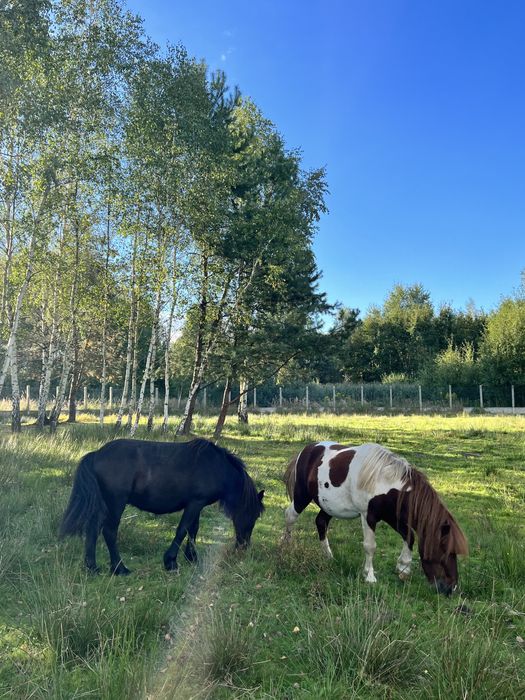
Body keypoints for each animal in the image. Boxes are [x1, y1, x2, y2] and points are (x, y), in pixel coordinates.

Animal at [59, 438, 264, 576]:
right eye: (253, 515)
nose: (244, 545)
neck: (215, 466)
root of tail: (97, 454)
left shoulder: (197, 504)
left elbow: (193, 530)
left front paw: (192, 558)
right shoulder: (195, 503)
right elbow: (183, 530)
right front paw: (171, 562)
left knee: (93, 529)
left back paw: (92, 567)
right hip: (116, 503)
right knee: (109, 531)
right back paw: (120, 568)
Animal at [282, 440, 466, 592]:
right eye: (444, 552)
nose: (451, 588)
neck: (385, 482)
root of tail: (307, 449)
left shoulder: (394, 516)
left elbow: (409, 536)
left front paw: (403, 568)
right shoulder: (368, 516)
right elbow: (370, 546)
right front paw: (369, 576)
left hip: (328, 506)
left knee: (321, 522)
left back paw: (328, 557)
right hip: (302, 496)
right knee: (290, 516)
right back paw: (286, 547)